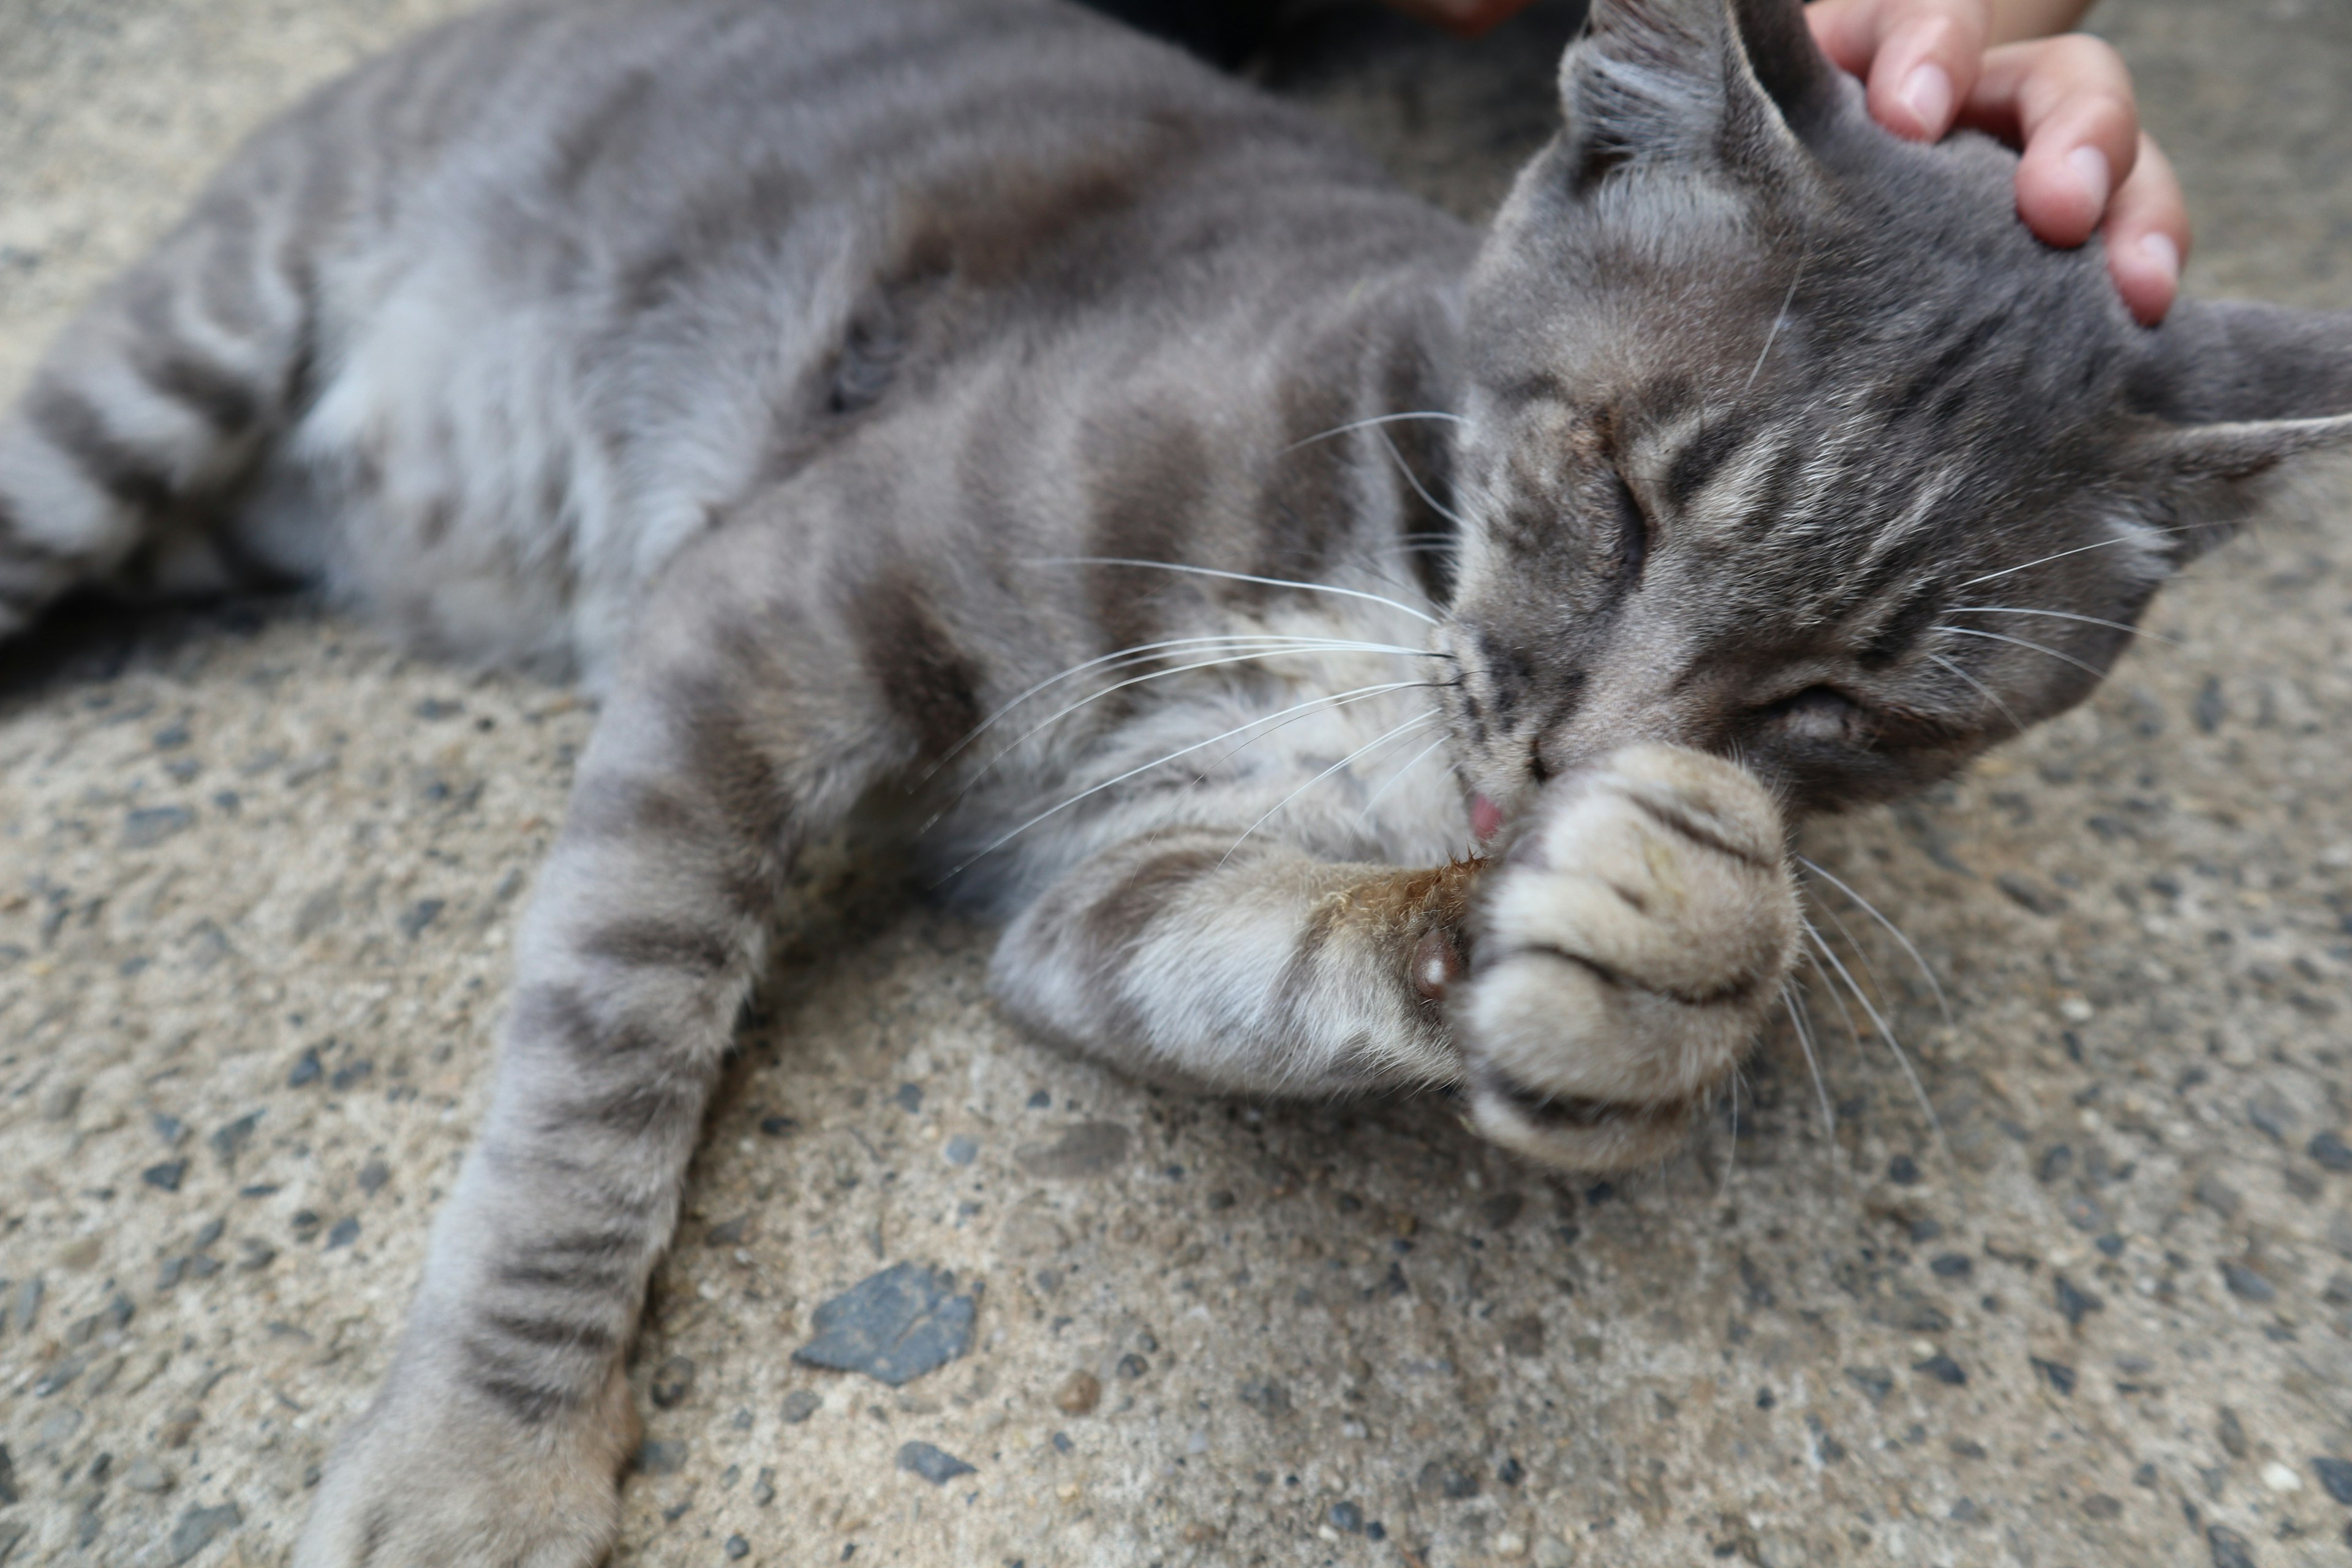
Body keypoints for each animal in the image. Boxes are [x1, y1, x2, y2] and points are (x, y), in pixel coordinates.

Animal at [0, 0, 2342, 1561]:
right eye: (1622, 493)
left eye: (1849, 705)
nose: (1580, 762)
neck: (1394, 562)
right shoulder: (756, 625)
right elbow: (596, 1080)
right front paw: (479, 1462)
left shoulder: (1093, 901)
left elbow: (1280, 954)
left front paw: (1648, 951)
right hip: (162, 375)